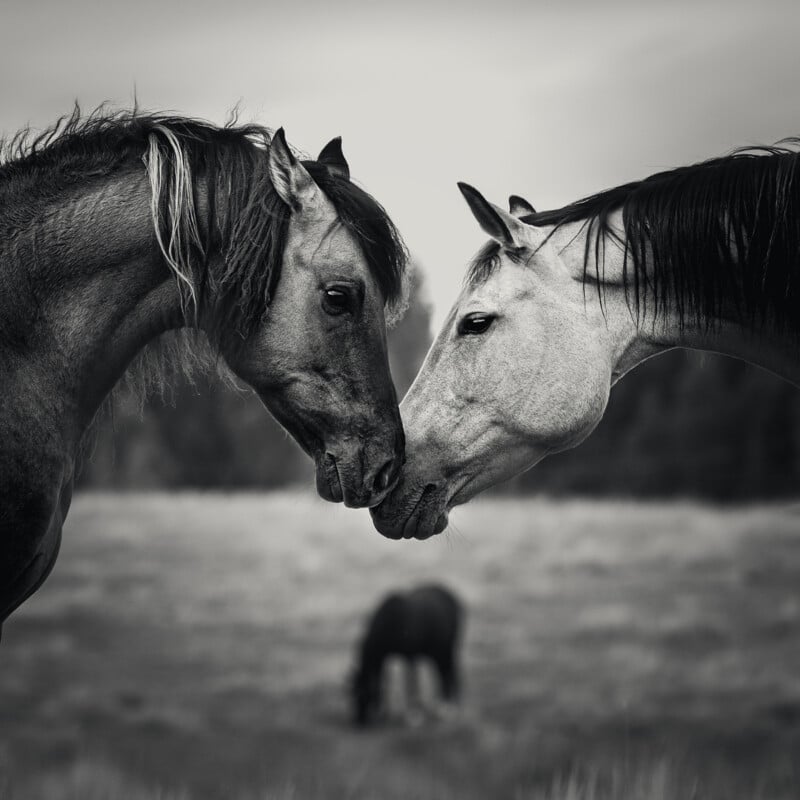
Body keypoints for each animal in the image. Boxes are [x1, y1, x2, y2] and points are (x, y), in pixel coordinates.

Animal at [350, 580, 462, 724]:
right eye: (352, 693)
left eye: (363, 693)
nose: (359, 720)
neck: (390, 622)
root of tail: (454, 601)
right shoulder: (387, 656)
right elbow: (385, 680)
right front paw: (385, 713)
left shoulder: (410, 656)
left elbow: (411, 684)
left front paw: (414, 715)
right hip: (436, 653)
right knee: (444, 673)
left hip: (446, 649)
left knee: (450, 674)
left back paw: (447, 709)